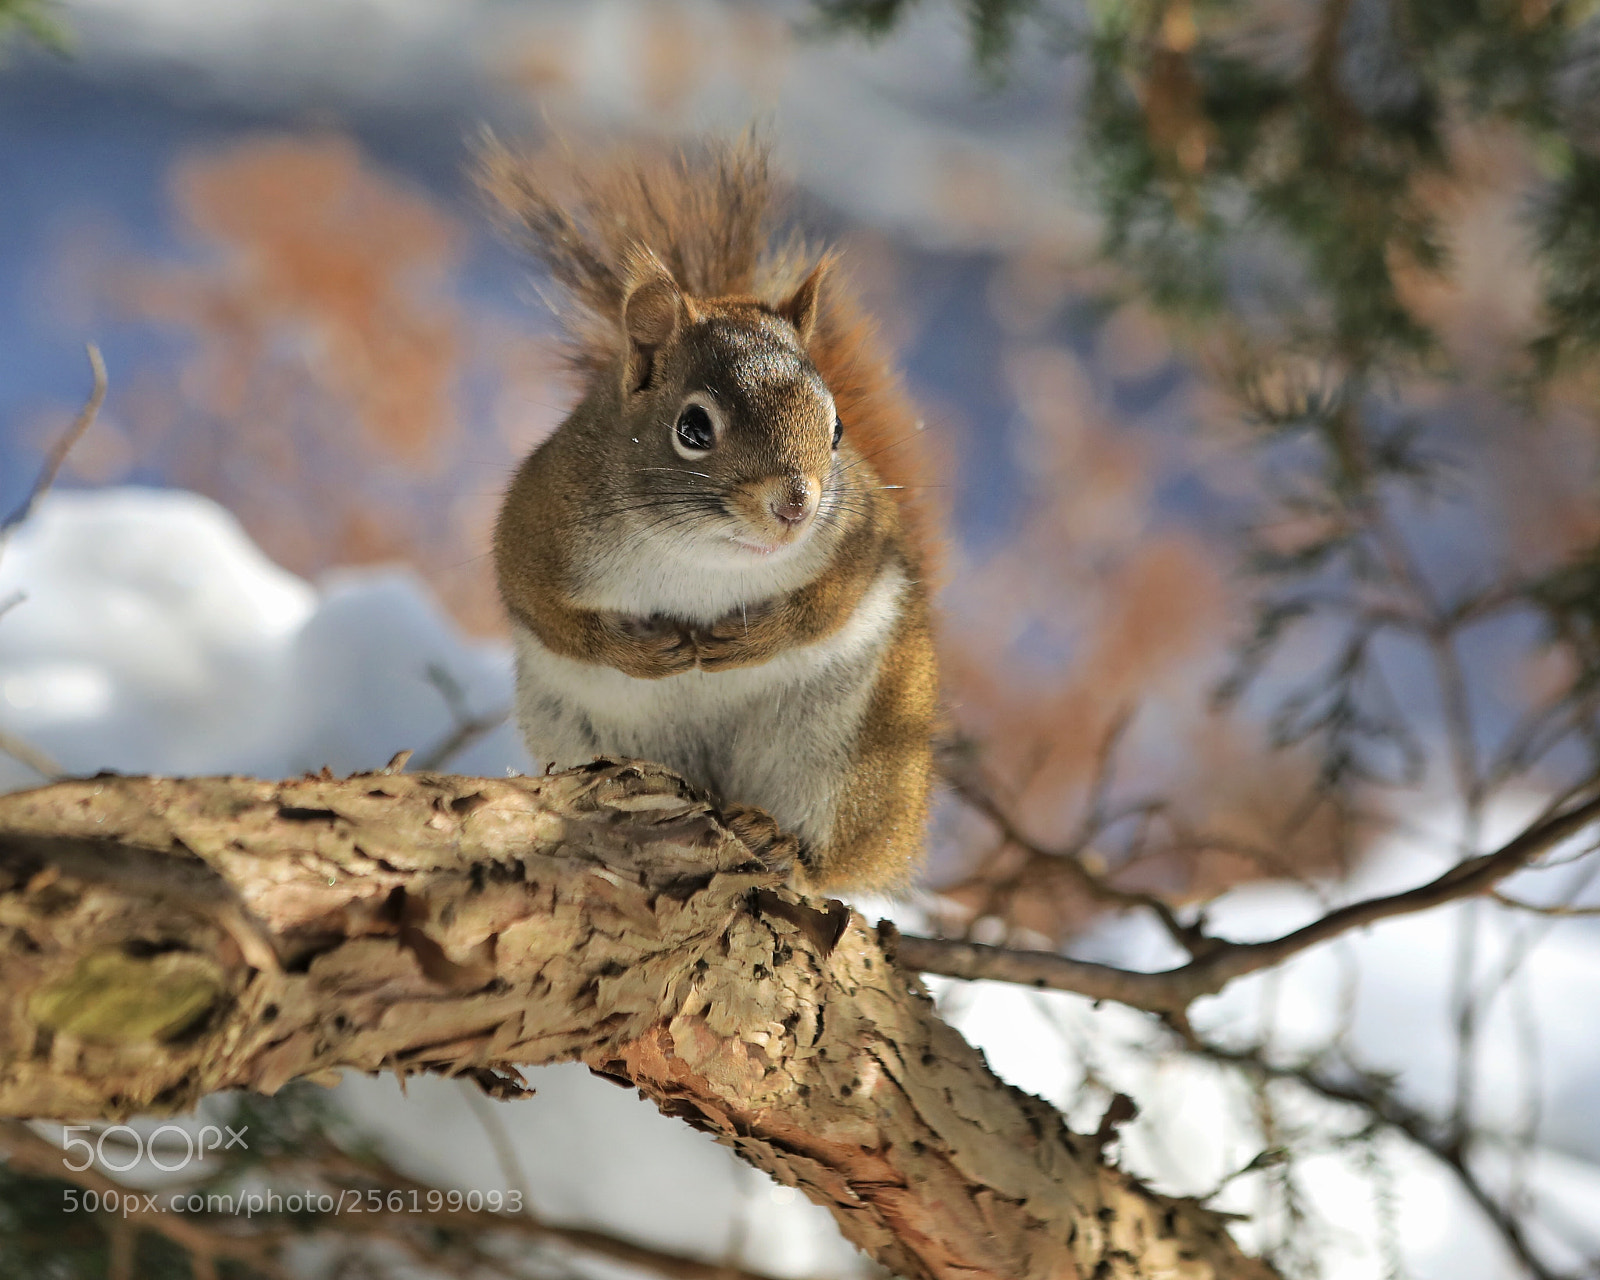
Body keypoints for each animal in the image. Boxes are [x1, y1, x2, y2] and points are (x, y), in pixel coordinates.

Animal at [479, 134, 938, 894]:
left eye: (837, 429)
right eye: (693, 429)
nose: (796, 505)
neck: (703, 559)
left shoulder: (863, 539)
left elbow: (830, 603)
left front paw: (752, 639)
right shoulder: (539, 527)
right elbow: (551, 614)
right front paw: (642, 650)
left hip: (853, 760)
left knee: (834, 858)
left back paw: (785, 846)